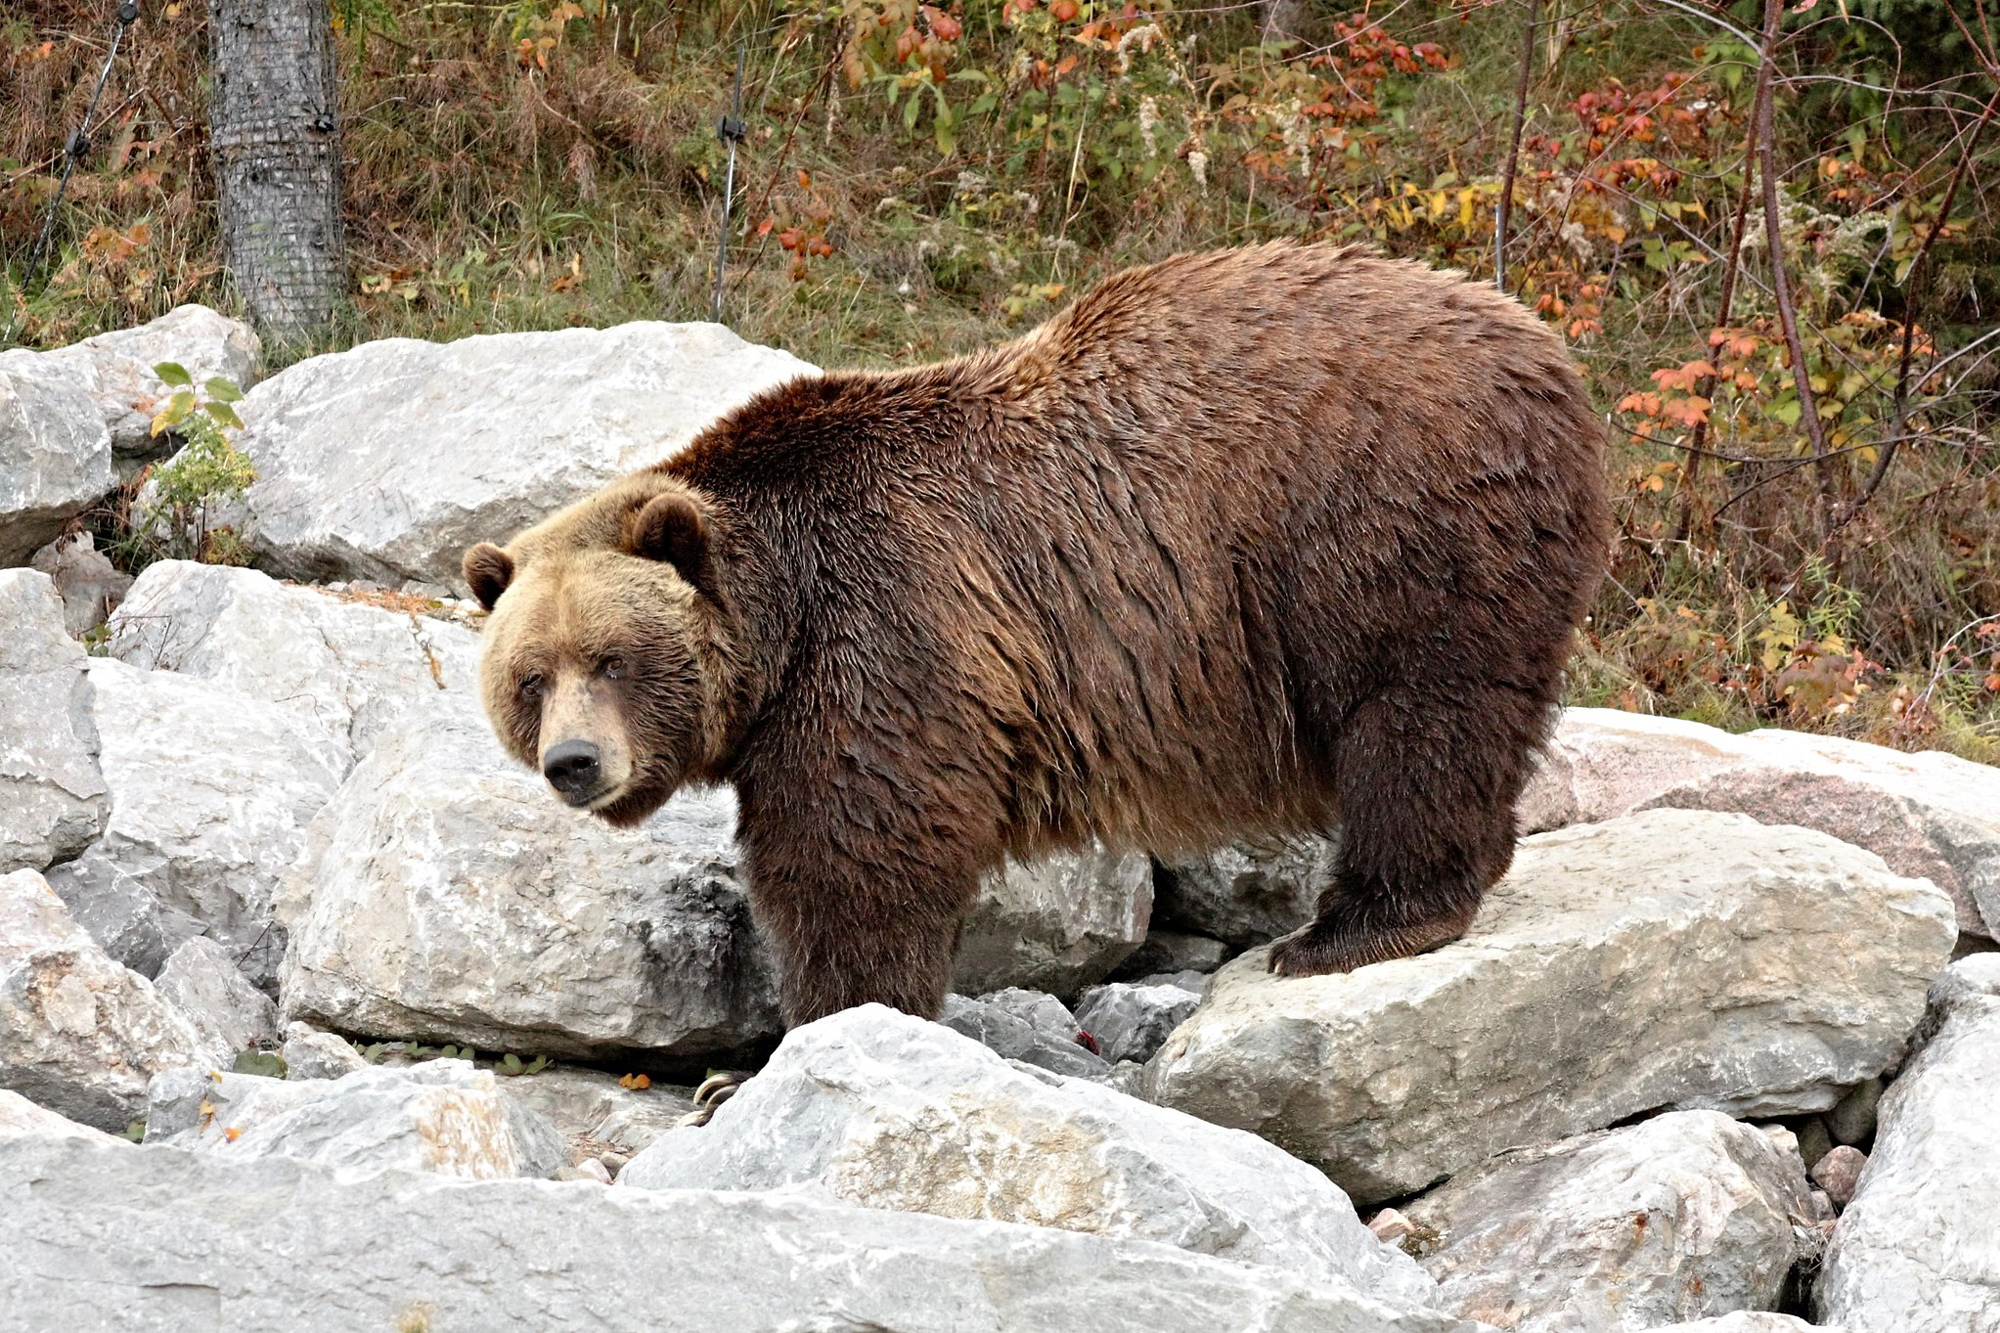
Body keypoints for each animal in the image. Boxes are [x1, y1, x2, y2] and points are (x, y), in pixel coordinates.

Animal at [463, 239, 1610, 1036]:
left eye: (611, 658)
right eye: (530, 677)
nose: (575, 762)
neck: (777, 621)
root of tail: (1545, 350)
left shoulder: (890, 624)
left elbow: (856, 852)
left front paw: (836, 1016)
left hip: (1385, 528)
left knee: (1418, 715)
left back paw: (1354, 928)